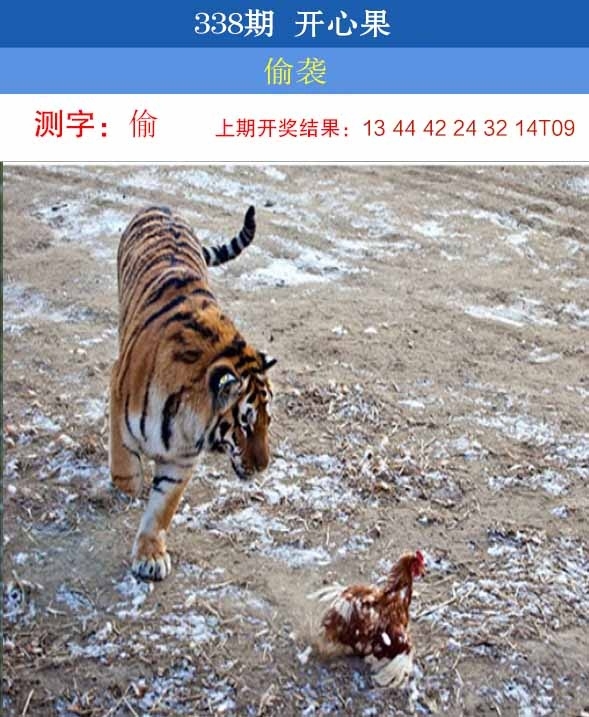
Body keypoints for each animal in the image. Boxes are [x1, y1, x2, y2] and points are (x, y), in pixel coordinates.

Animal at [109, 204, 276, 581]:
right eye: (245, 423)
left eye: (267, 422)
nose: (263, 468)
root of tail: (160, 205)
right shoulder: (116, 390)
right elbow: (126, 469)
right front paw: (130, 484)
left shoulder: (181, 459)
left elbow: (161, 510)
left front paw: (151, 555)